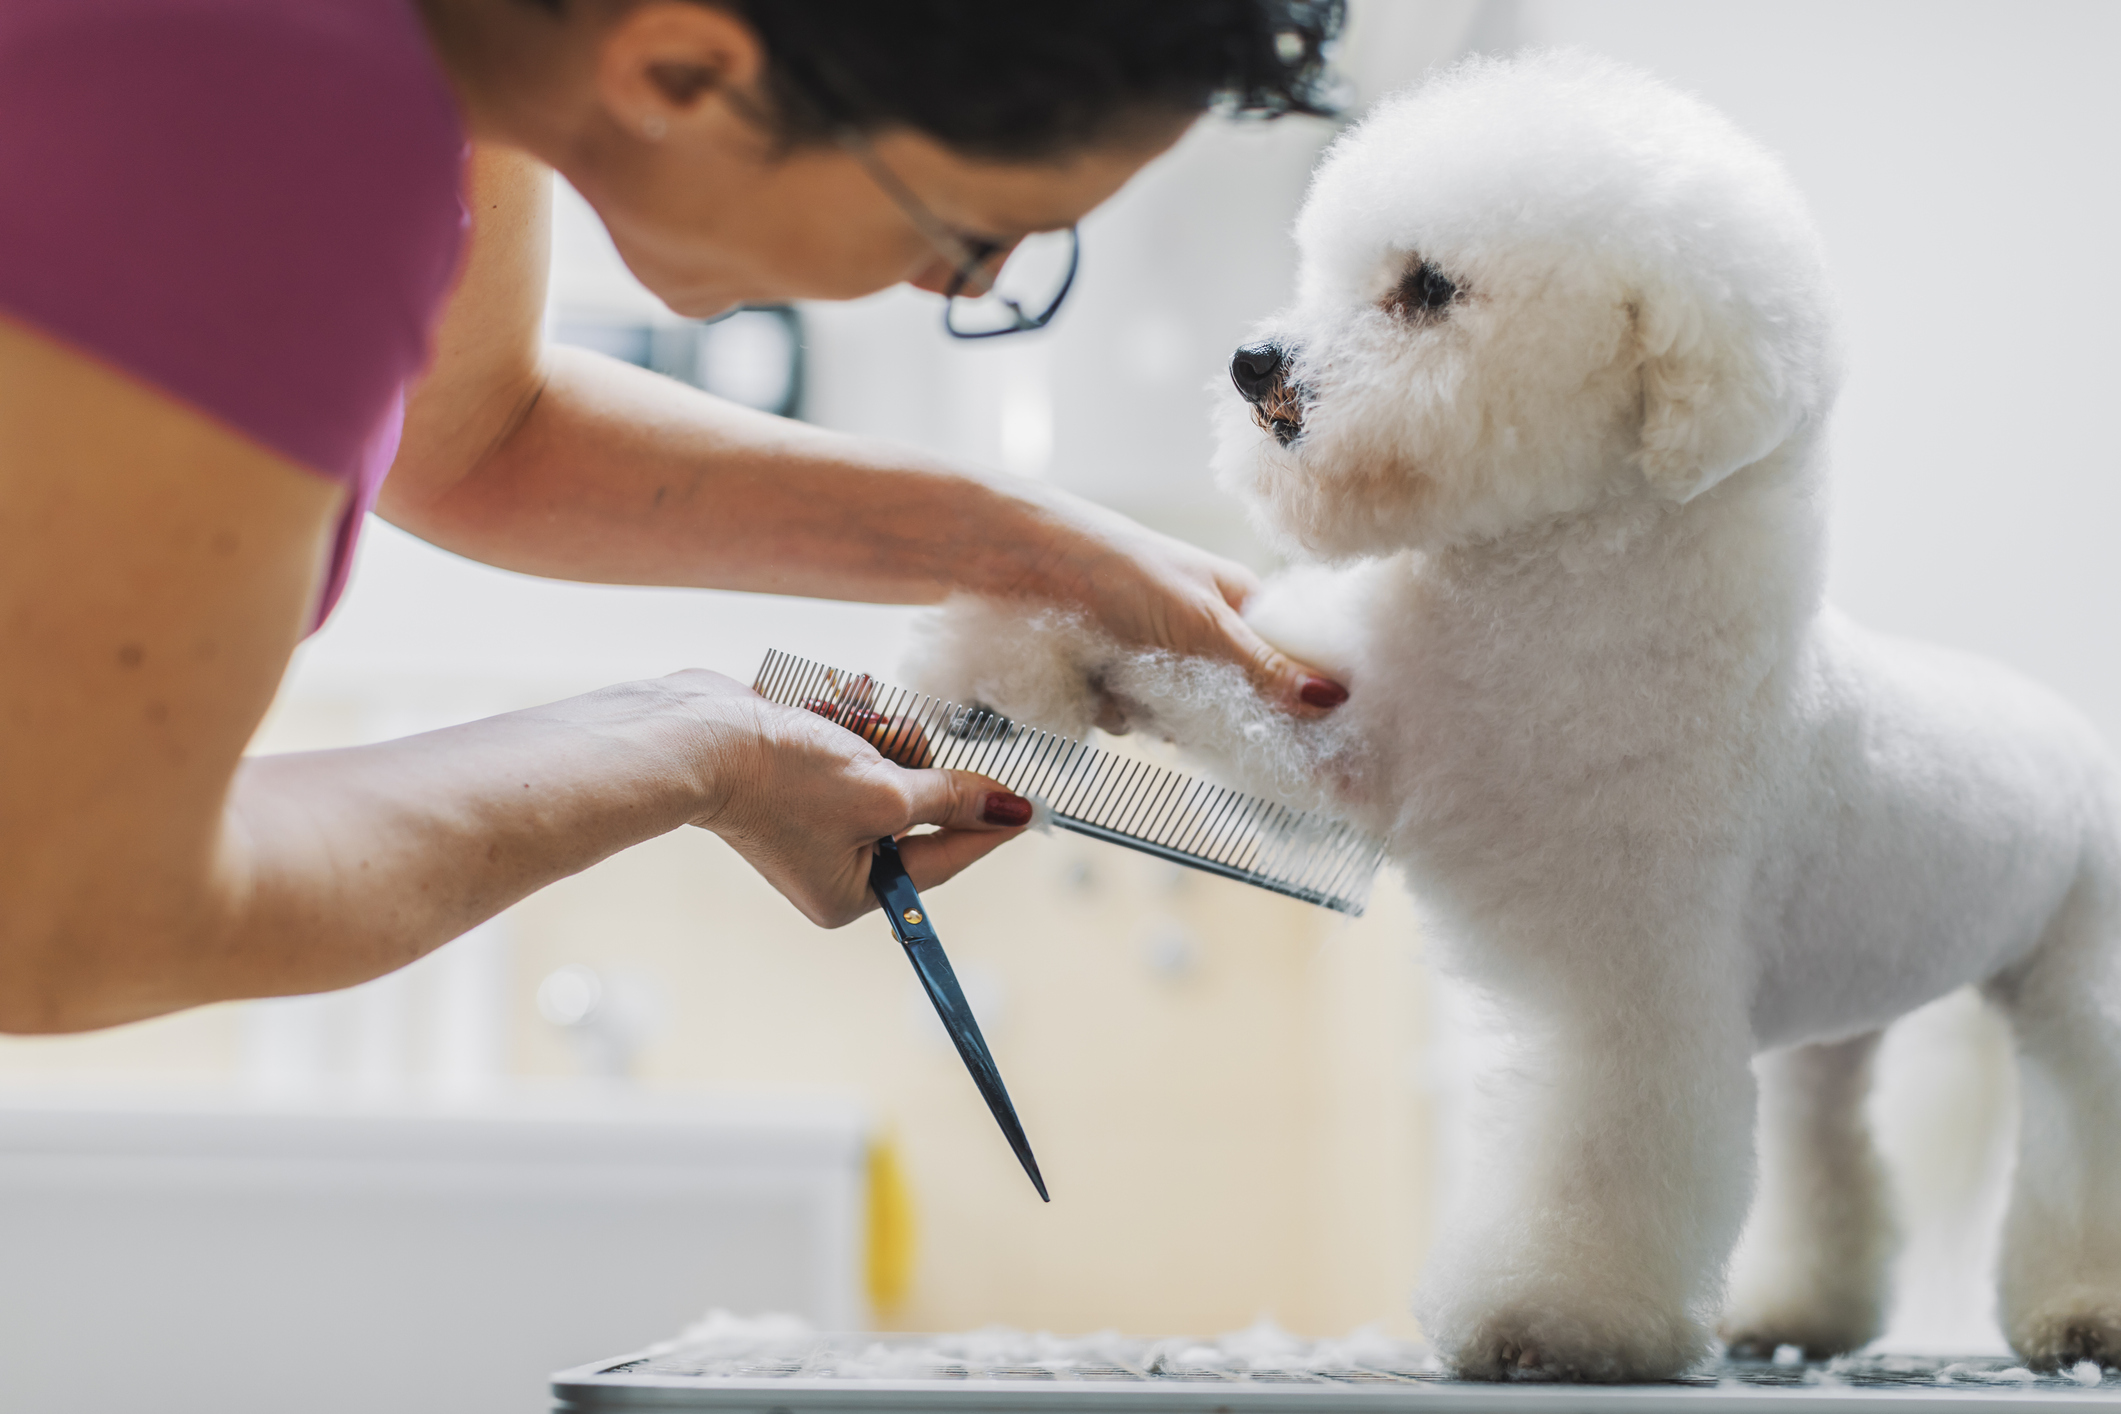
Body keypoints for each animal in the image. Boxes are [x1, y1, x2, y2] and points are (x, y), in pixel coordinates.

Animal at [912, 49, 2121, 1373]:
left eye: (1428, 288)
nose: (1252, 360)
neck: (1536, 603)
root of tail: (2072, 729)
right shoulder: (1354, 733)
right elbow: (1198, 667)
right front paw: (1007, 658)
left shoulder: (1627, 990)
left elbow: (1598, 1162)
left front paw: (1552, 1321)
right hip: (1829, 1031)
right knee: (1827, 1148)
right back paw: (1792, 1312)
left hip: (2081, 984)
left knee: (2078, 1121)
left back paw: (2082, 1308)